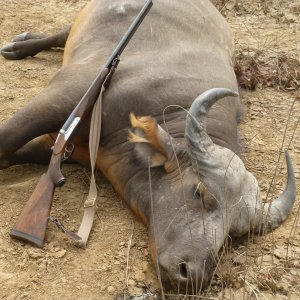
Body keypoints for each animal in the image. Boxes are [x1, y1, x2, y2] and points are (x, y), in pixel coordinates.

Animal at [0, 0, 296, 292]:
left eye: (235, 232)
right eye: (200, 192)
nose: (194, 275)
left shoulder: (62, 148)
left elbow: (10, 155)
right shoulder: (63, 96)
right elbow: (7, 140)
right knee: (63, 32)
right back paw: (19, 46)